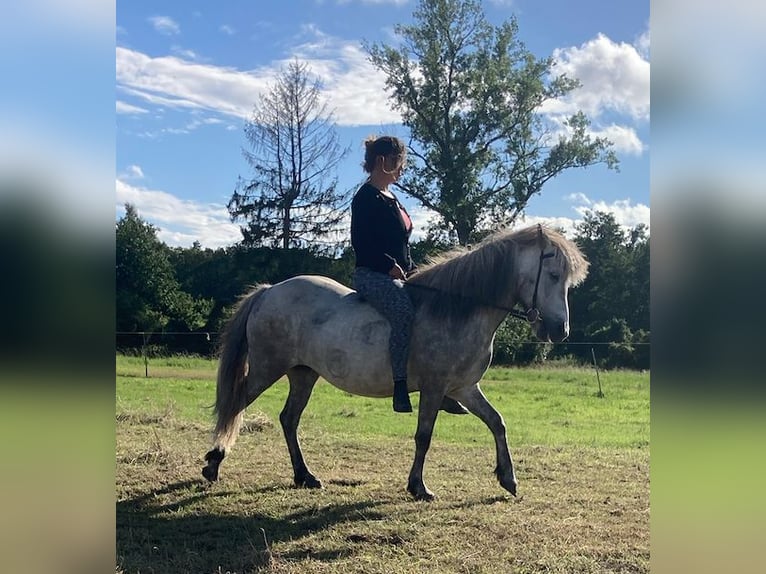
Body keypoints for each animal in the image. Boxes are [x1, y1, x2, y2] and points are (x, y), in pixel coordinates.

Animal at [202, 223, 588, 502]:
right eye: (553, 275)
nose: (561, 330)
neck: (457, 310)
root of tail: (269, 290)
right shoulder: (434, 388)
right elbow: (424, 436)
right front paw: (419, 487)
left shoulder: (464, 388)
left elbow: (497, 422)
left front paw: (508, 478)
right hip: (267, 369)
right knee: (237, 405)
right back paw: (213, 465)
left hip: (303, 375)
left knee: (288, 419)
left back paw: (304, 476)